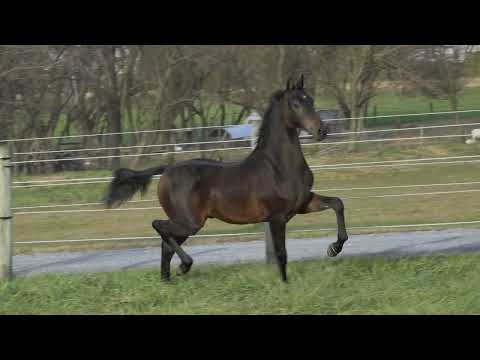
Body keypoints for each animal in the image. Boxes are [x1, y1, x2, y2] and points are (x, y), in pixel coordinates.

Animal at [104, 76, 348, 282]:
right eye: (295, 104)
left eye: (311, 100)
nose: (322, 131)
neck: (278, 167)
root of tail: (167, 170)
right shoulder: (277, 217)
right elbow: (281, 252)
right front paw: (285, 284)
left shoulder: (302, 204)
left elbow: (337, 203)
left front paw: (334, 248)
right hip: (189, 222)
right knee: (159, 226)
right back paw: (185, 265)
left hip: (186, 224)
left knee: (165, 244)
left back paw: (167, 279)